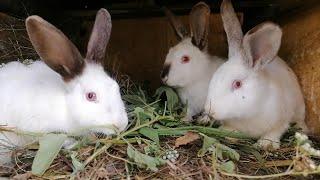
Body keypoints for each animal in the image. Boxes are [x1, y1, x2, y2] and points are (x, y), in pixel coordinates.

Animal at [0, 8, 127, 163]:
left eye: (116, 86)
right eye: (90, 96)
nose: (121, 125)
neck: (65, 104)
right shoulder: (38, 129)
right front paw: (73, 143)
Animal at [202, 0, 310, 149]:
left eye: (237, 84)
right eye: (214, 77)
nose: (210, 110)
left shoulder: (282, 119)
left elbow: (276, 131)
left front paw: (266, 144)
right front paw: (228, 134)